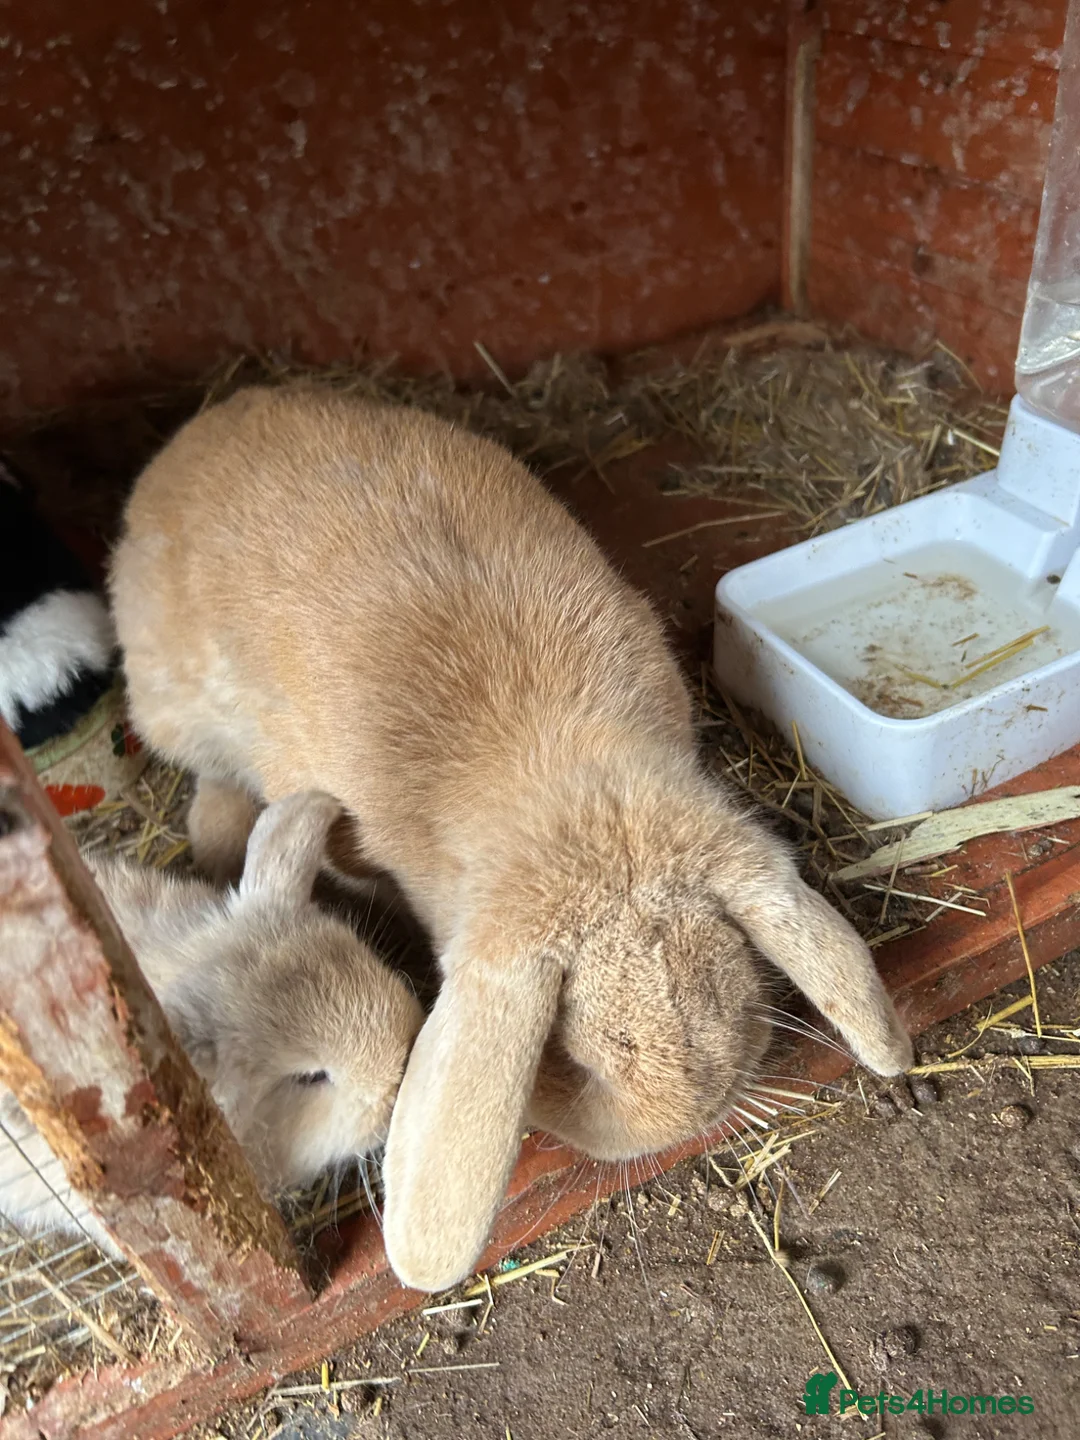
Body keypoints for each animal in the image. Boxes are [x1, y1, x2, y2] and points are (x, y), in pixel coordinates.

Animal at [109, 383, 913, 1293]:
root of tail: (195, 433)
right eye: (584, 1059)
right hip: (176, 708)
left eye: (736, 1007)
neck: (567, 791)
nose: (675, 1128)